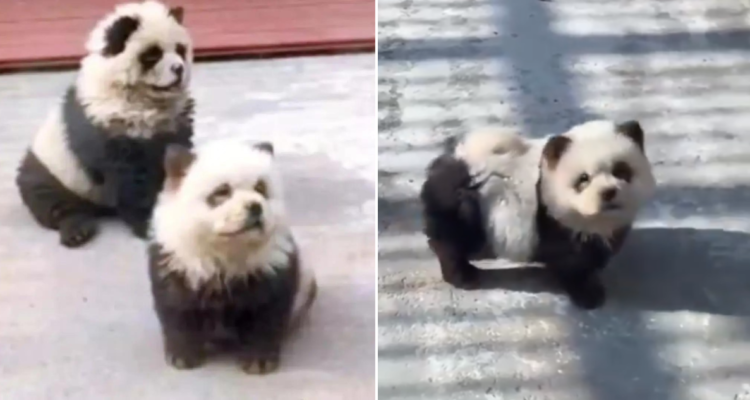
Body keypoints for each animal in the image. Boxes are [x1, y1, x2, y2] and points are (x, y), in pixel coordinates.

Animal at [15, 1, 195, 248]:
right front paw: (147, 223)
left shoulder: (175, 122)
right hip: (52, 168)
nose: (178, 69)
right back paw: (76, 230)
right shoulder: (107, 122)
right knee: (49, 200)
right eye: (152, 55)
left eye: (180, 50)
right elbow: (130, 179)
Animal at [147, 141, 317, 374]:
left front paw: (258, 360)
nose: (255, 207)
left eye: (260, 188)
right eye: (221, 192)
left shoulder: (271, 268)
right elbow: (177, 310)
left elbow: (266, 314)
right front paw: (183, 356)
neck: (228, 252)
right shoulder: (177, 263)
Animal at [420, 120, 656, 309]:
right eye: (583, 178)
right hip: (465, 206)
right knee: (453, 241)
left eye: (621, 171)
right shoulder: (556, 222)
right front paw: (589, 294)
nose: (608, 192)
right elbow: (571, 262)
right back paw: (464, 275)